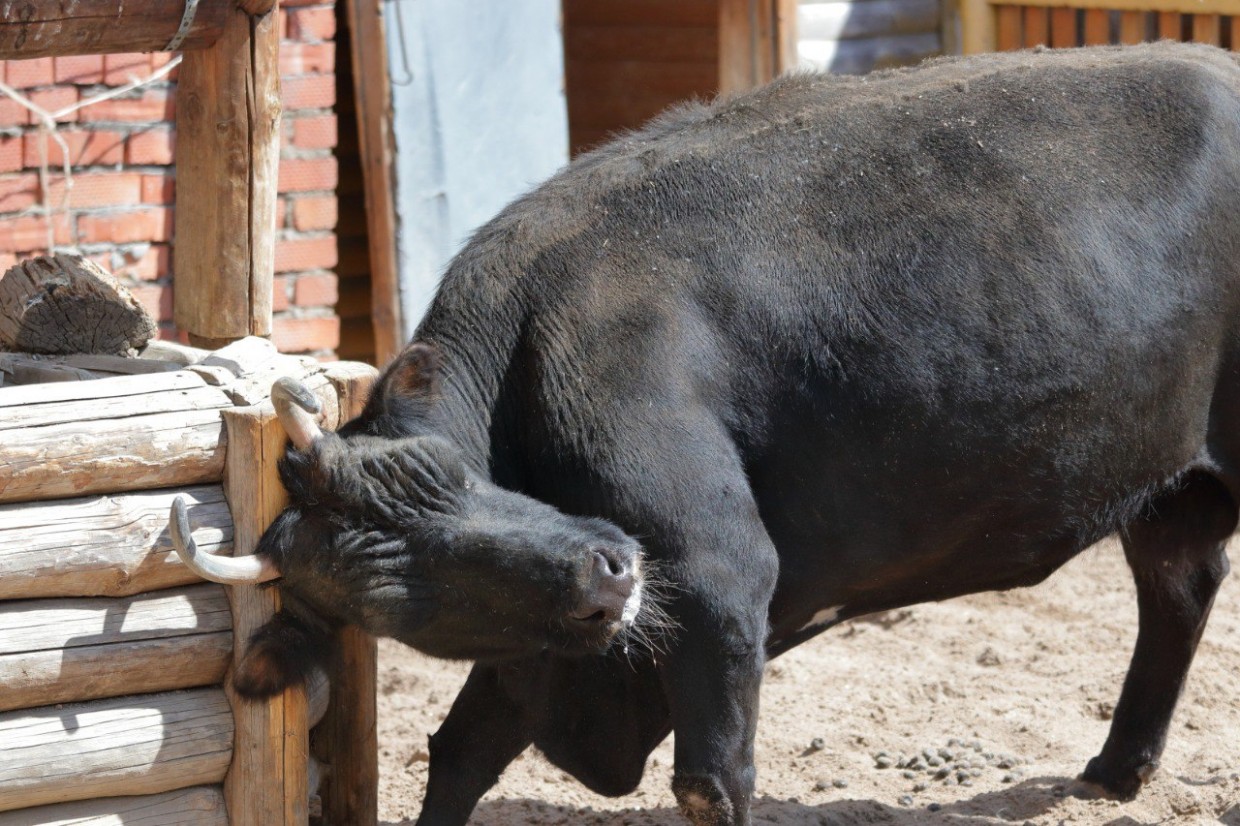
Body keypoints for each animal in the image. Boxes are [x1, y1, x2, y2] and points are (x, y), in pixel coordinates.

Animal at [172, 44, 1240, 823]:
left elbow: (709, 785)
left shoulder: (724, 576)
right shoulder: (541, 642)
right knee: (1178, 588)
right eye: (411, 598)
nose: (607, 568)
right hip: (1175, 483)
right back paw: (1115, 770)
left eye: (462, 481)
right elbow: (459, 751)